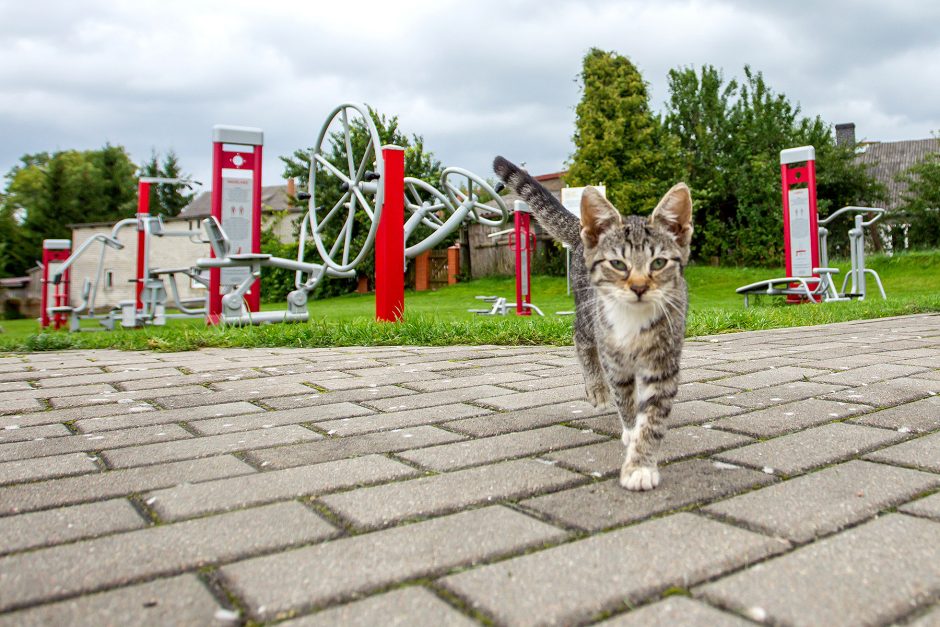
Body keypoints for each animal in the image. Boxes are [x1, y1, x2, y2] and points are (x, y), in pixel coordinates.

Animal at [492, 157, 692, 490]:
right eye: (618, 264)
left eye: (659, 263)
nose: (639, 287)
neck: (633, 322)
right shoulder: (614, 357)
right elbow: (624, 399)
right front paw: (630, 431)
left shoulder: (664, 361)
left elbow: (653, 416)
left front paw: (641, 462)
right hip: (588, 313)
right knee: (580, 338)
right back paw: (596, 388)